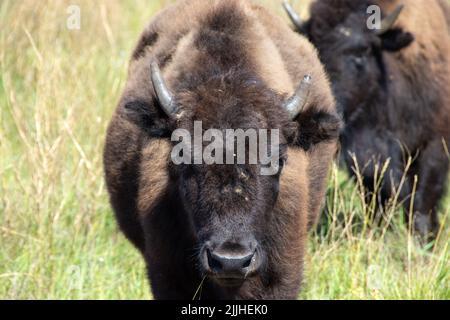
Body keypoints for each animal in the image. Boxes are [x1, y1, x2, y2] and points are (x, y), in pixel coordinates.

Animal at [284, 0, 450, 240]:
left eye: (363, 51)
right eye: (317, 50)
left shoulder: (434, 144)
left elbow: (425, 195)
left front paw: (423, 235)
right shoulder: (365, 157)